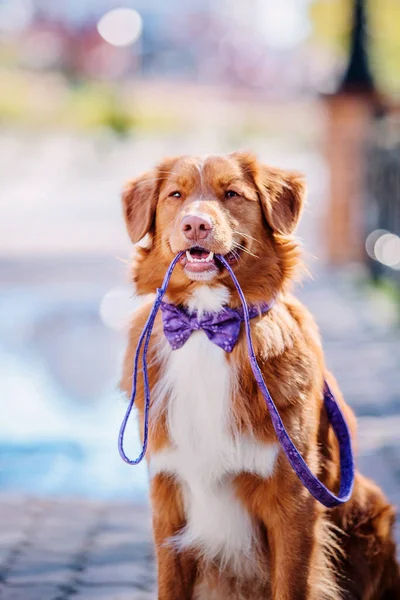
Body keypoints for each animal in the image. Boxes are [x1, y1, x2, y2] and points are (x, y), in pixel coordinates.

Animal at [119, 154, 400, 600]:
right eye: (175, 195)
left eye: (232, 194)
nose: (195, 225)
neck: (207, 327)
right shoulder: (168, 500)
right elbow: (170, 585)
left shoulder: (294, 503)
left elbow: (291, 583)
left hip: (371, 510)